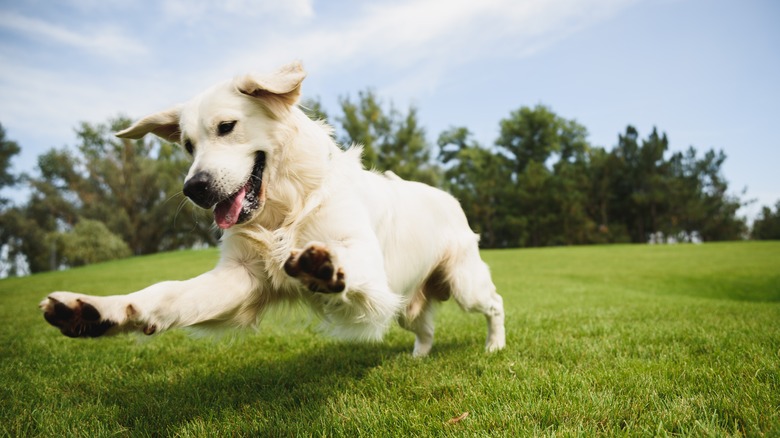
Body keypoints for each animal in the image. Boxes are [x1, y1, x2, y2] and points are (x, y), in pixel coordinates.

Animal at [39, 61, 506, 356]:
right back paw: (417, 357)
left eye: (226, 127)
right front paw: (97, 311)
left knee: (496, 302)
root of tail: (449, 197)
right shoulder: (241, 277)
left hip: (464, 283)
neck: (285, 209)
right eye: (188, 145)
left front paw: (323, 267)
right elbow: (165, 294)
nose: (194, 188)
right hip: (407, 302)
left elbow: (346, 263)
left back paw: (494, 346)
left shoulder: (370, 269)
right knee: (424, 328)